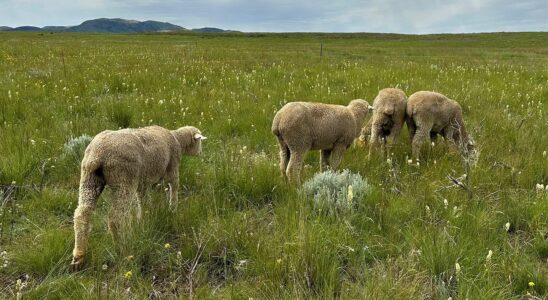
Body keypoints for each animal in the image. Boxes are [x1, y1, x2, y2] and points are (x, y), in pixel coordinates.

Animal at [69, 125, 206, 270]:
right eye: (199, 141)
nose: (200, 153)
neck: (178, 140)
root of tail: (99, 154)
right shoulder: (172, 168)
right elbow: (174, 188)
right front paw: (172, 209)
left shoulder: (143, 182)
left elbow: (142, 201)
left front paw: (143, 219)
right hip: (123, 178)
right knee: (116, 217)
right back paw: (122, 247)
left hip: (89, 177)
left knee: (82, 214)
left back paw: (79, 257)